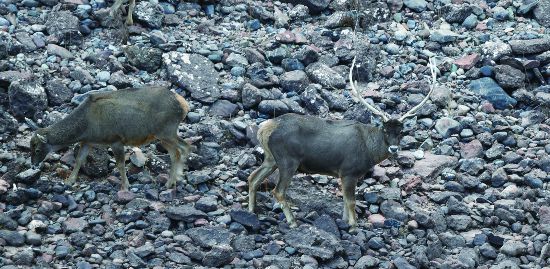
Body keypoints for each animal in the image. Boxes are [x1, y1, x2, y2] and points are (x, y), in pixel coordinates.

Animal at [30, 87, 194, 189]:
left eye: (37, 149)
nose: (33, 164)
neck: (86, 126)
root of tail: (184, 105)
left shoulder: (115, 140)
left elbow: (120, 164)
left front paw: (125, 185)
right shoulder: (87, 141)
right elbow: (79, 160)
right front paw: (69, 181)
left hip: (166, 131)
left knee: (185, 147)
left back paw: (173, 180)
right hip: (163, 135)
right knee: (176, 152)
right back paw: (174, 179)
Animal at [248, 56, 438, 230]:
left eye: (401, 132)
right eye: (385, 130)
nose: (393, 147)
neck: (369, 153)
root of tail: (264, 128)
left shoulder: (345, 175)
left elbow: (345, 201)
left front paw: (345, 221)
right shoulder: (348, 171)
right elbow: (351, 201)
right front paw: (354, 225)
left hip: (271, 158)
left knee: (253, 177)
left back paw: (252, 211)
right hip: (288, 160)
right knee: (278, 190)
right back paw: (292, 221)